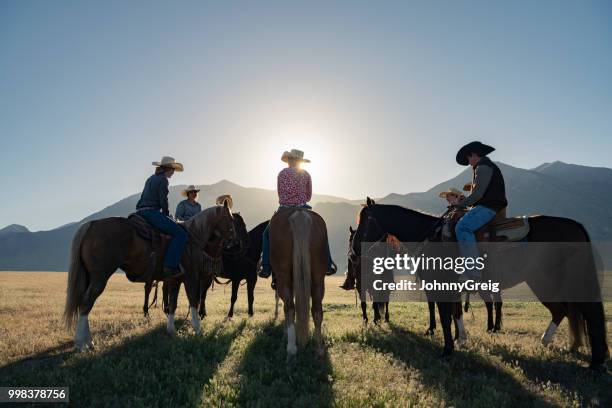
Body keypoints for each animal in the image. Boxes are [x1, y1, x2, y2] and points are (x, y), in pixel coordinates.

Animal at [62, 204, 234, 350]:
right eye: (231, 219)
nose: (234, 241)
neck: (192, 238)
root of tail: (90, 224)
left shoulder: (175, 279)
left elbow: (173, 303)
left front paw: (171, 330)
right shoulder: (191, 277)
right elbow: (193, 301)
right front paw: (198, 330)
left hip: (89, 278)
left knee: (84, 304)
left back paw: (87, 341)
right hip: (99, 278)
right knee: (86, 304)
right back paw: (82, 343)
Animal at [268, 209, 328, 358]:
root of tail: (299, 213)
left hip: (283, 276)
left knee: (289, 307)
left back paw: (291, 348)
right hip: (318, 278)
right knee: (317, 310)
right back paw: (319, 348)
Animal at [352, 199, 608, 372]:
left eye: (365, 221)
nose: (354, 251)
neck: (431, 237)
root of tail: (576, 226)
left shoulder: (441, 286)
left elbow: (445, 317)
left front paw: (447, 350)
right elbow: (455, 314)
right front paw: (461, 339)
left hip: (545, 281)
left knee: (578, 312)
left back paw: (591, 360)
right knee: (568, 311)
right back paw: (566, 346)